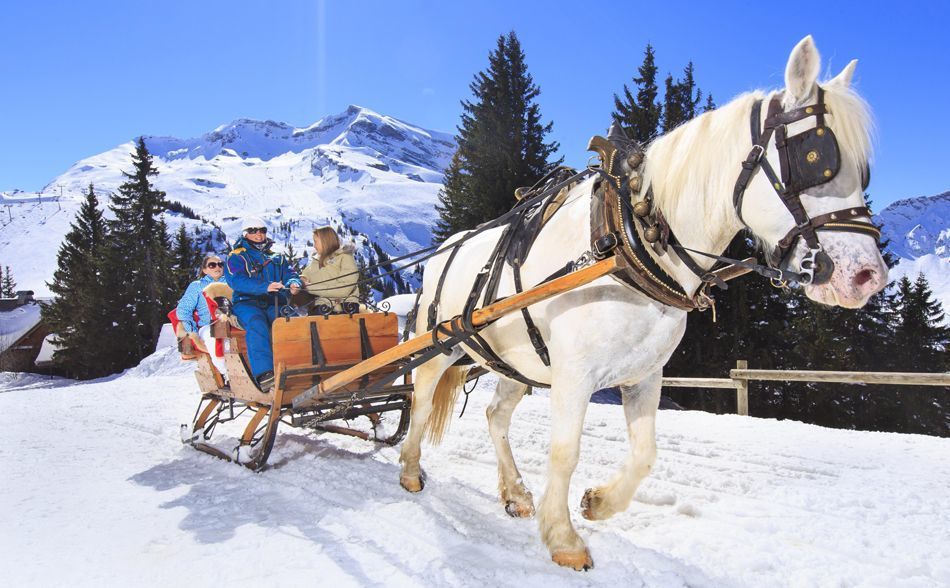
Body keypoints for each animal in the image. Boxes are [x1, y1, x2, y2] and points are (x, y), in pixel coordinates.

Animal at [398, 36, 888, 568]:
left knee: (496, 416)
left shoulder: (645, 374)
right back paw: (410, 469)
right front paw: (563, 538)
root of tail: (444, 249)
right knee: (421, 399)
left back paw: (514, 492)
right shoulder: (574, 374)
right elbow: (565, 451)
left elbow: (645, 453)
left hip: (518, 362)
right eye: (814, 155)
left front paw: (598, 502)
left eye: (864, 170)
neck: (628, 238)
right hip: (439, 344)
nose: (867, 276)